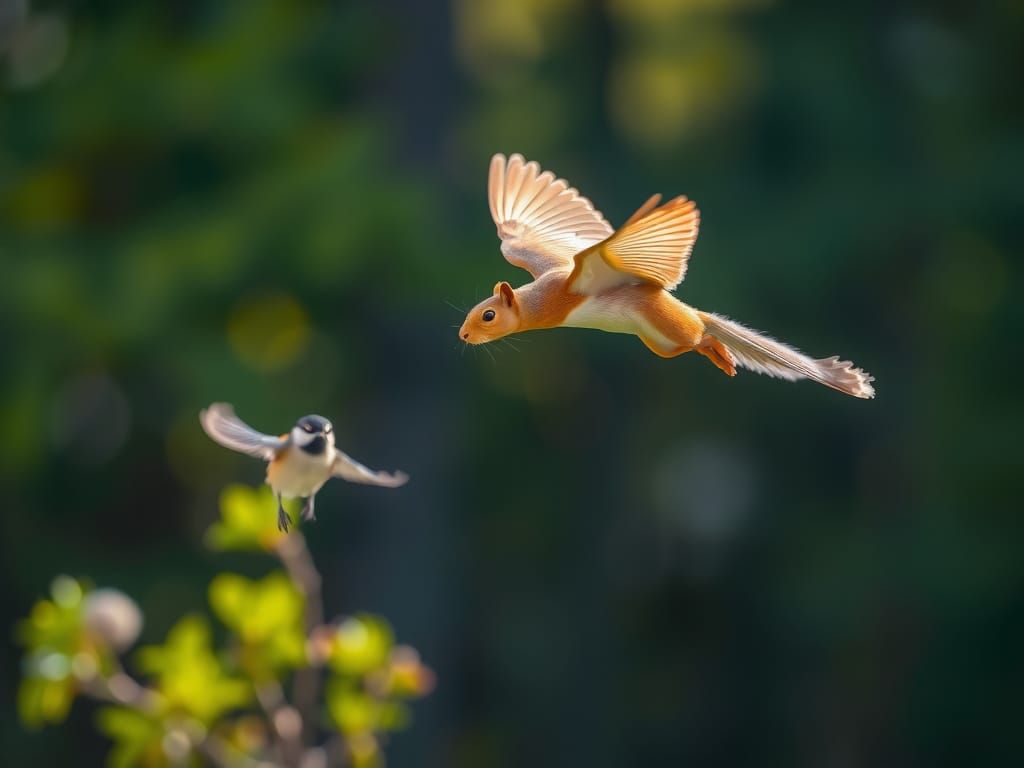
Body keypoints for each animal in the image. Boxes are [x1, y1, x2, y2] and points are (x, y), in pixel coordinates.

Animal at [458, 153, 875, 399]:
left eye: (488, 315)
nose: (463, 335)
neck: (550, 296)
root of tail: (695, 314)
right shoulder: (522, 246)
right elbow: (513, 239)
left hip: (668, 325)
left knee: (701, 337)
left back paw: (719, 349)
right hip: (655, 340)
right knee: (689, 346)